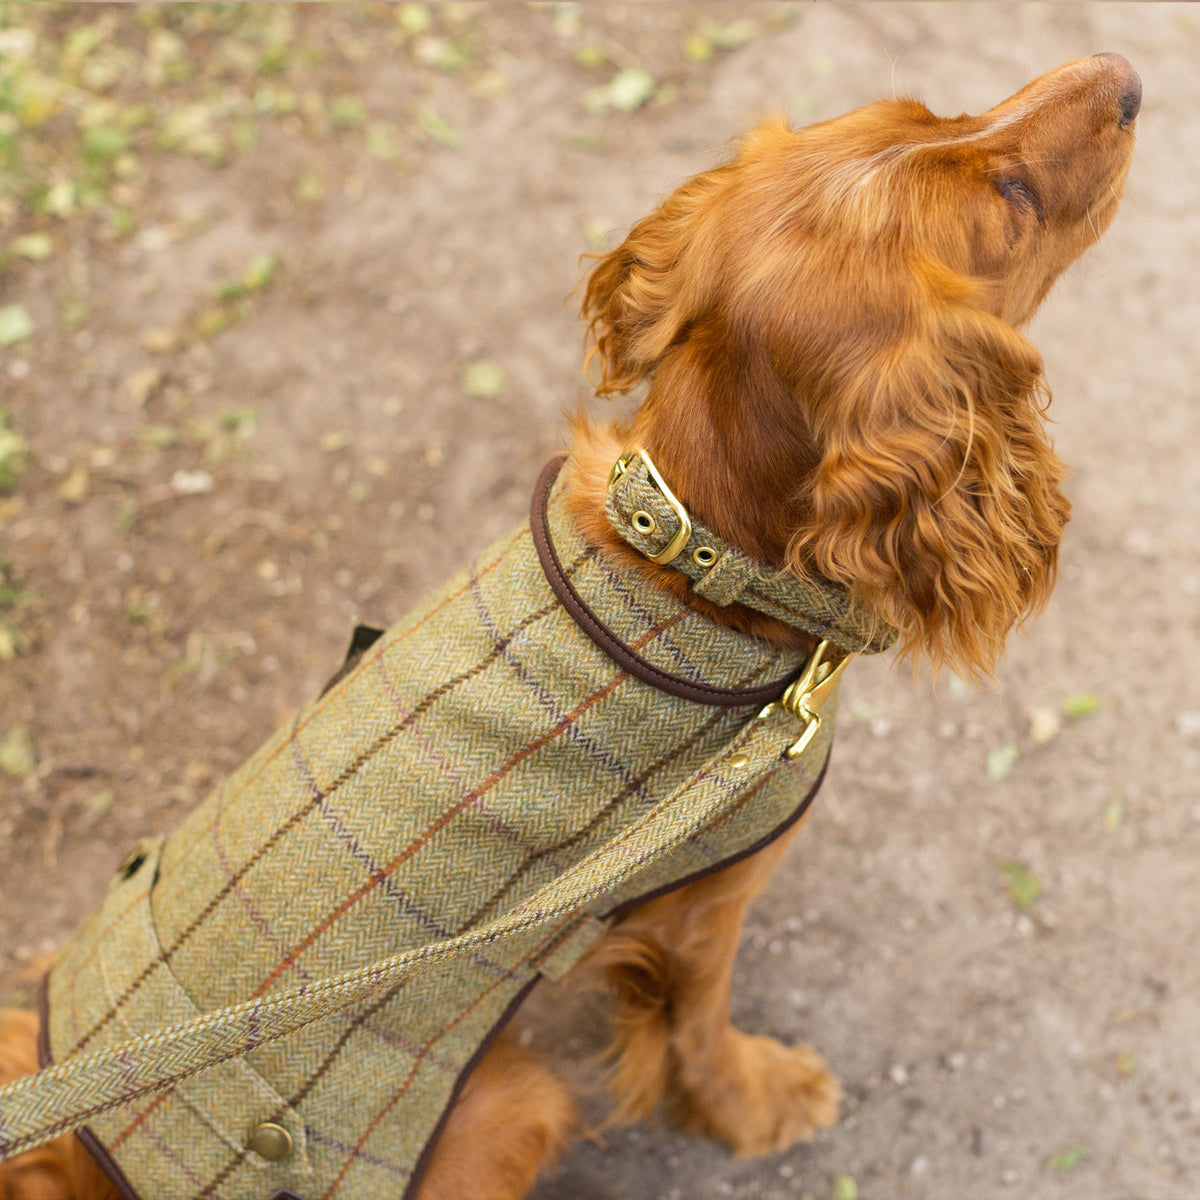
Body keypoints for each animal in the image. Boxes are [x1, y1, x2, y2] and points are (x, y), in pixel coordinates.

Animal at [0, 54, 1137, 1200]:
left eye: (940, 110)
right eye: (1013, 199)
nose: (1125, 78)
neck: (690, 552)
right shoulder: (706, 904)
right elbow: (701, 1031)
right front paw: (760, 1102)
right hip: (513, 1103)